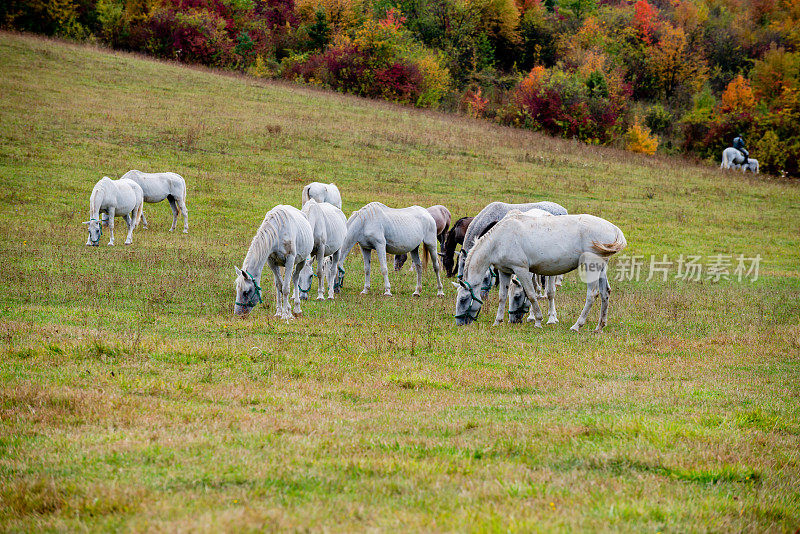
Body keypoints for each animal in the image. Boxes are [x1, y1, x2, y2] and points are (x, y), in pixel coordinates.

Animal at [456, 214, 624, 336]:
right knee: (605, 293)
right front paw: (498, 321)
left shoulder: (522, 270)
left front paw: (538, 321)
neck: (500, 239)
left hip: (591, 267)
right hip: (600, 268)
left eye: (463, 299)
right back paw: (599, 326)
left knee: (592, 295)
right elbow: (502, 297)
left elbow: (531, 295)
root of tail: (612, 228)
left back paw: (577, 325)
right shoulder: (505, 272)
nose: (459, 323)